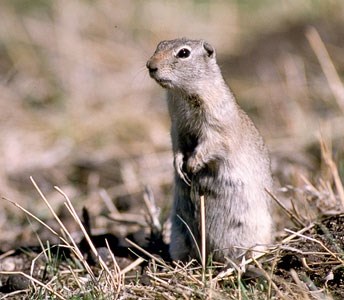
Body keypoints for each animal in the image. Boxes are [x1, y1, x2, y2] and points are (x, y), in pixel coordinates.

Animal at [146, 37, 272, 262]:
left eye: (184, 53)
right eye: (159, 45)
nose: (150, 66)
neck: (184, 96)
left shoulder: (216, 126)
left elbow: (212, 144)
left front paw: (192, 166)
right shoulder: (176, 126)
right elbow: (177, 145)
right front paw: (179, 166)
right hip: (179, 234)